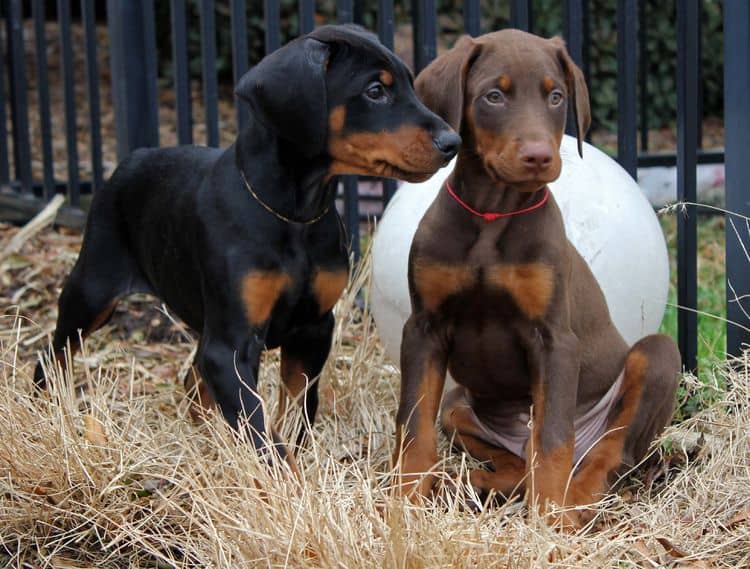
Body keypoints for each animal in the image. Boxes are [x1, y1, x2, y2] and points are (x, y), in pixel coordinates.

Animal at [38, 25, 462, 466]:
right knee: (53, 356)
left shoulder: (313, 327)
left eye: (411, 83)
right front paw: (284, 475)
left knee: (193, 378)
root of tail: (133, 157)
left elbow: (296, 409)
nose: (454, 141)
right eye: (375, 90)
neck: (293, 215)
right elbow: (260, 431)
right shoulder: (232, 343)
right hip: (92, 289)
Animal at [396, 30, 684, 528]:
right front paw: (403, 503)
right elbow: (414, 428)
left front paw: (551, 521)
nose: (538, 157)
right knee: (516, 460)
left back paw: (578, 500)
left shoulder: (554, 339)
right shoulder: (423, 329)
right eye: (493, 96)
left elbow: (552, 440)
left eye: (556, 97)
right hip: (458, 402)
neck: (492, 214)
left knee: (607, 452)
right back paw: (478, 482)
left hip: (657, 357)